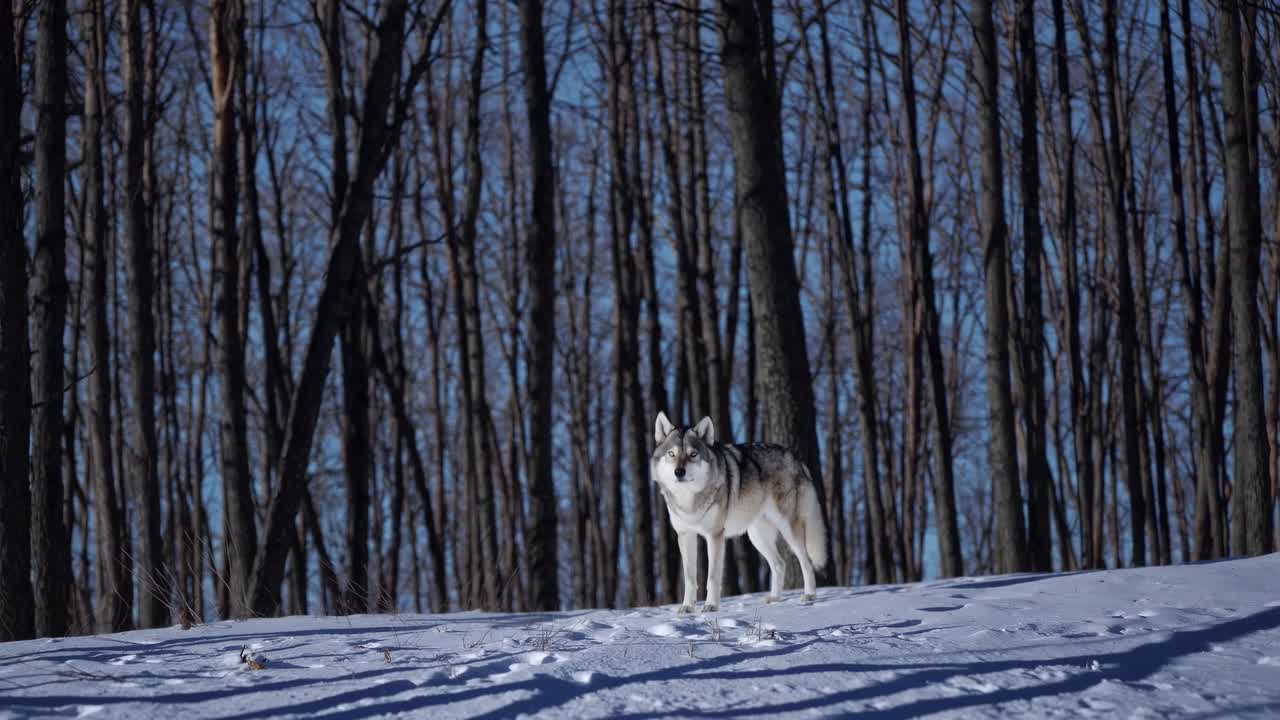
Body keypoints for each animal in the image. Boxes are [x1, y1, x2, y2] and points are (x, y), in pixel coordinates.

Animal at [651, 412, 828, 614]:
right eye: (671, 454)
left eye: (692, 454)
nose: (678, 472)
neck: (689, 500)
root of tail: (795, 458)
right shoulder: (685, 535)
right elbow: (690, 578)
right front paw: (687, 607)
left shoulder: (715, 536)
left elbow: (712, 577)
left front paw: (711, 606)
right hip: (757, 537)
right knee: (779, 564)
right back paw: (774, 598)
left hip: (789, 530)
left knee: (806, 562)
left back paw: (809, 596)